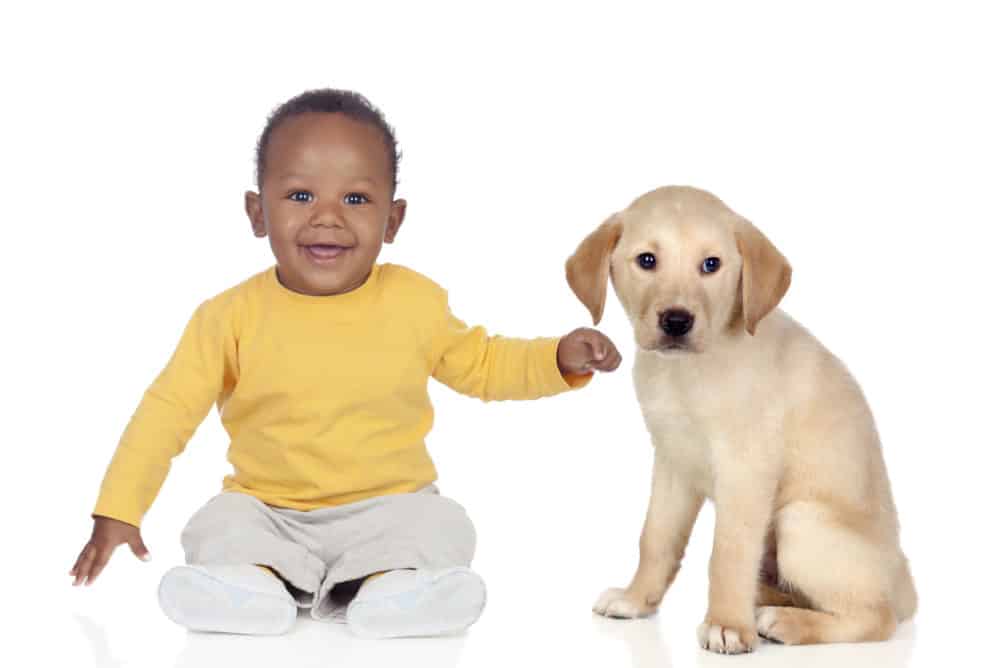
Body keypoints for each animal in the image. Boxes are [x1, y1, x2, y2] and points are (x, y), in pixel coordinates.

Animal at [568, 187, 916, 652]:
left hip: (801, 522)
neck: (688, 373)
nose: (676, 321)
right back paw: (768, 599)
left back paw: (784, 621)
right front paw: (636, 598)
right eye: (647, 260)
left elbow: (728, 553)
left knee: (877, 617)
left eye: (711, 265)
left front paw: (728, 624)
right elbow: (656, 537)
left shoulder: (745, 469)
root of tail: (906, 583)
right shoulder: (673, 461)